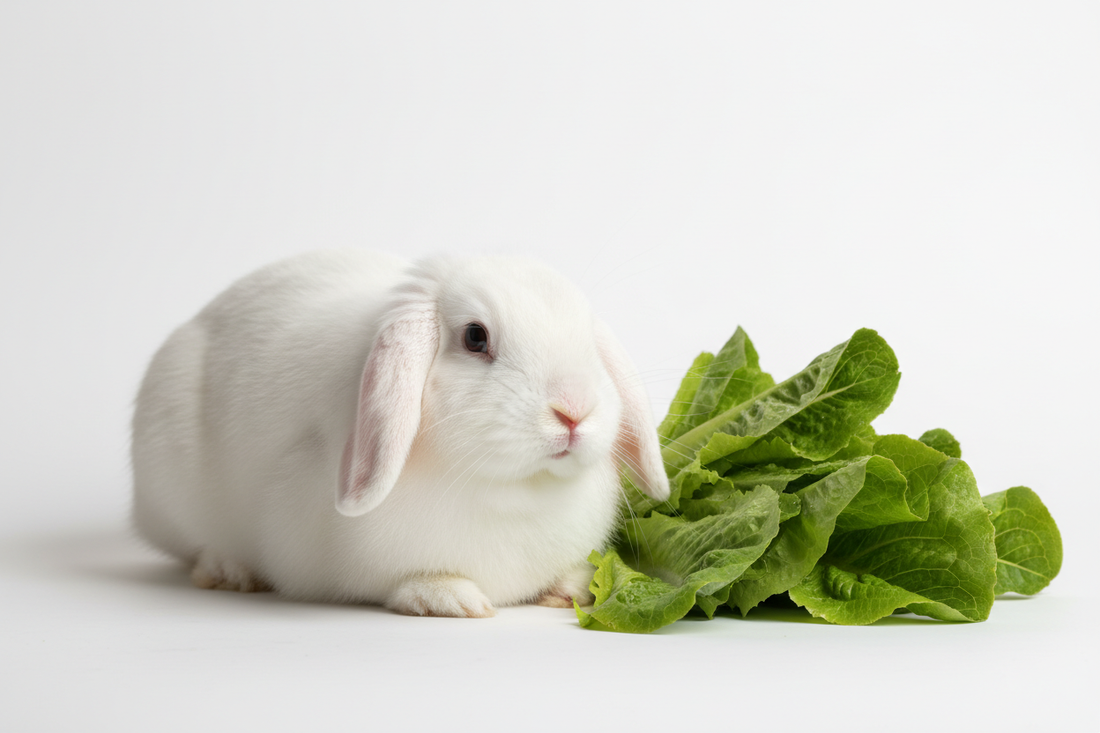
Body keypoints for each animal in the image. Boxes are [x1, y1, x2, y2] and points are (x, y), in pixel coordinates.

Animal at [131, 250, 670, 617]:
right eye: (475, 337)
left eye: (587, 341)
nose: (574, 410)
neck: (517, 491)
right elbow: (406, 581)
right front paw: (450, 598)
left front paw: (573, 588)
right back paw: (230, 571)